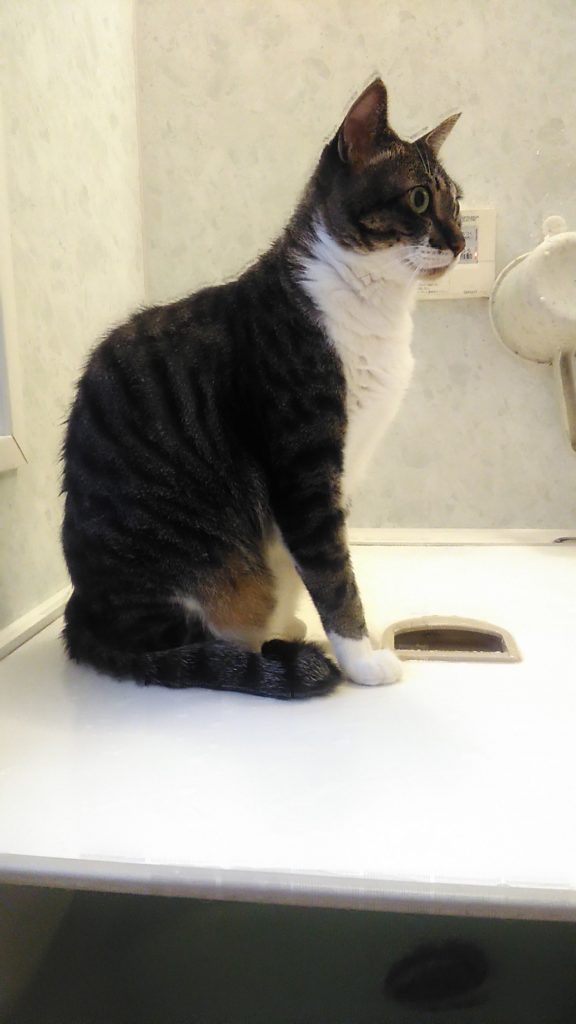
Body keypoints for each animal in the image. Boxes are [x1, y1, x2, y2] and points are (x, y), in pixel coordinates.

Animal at [62, 78, 464, 700]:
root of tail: (80, 614)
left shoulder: (345, 467)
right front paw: (362, 660)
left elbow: (320, 563)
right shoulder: (303, 465)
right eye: (420, 200)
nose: (464, 241)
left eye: (457, 202)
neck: (377, 307)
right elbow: (332, 571)